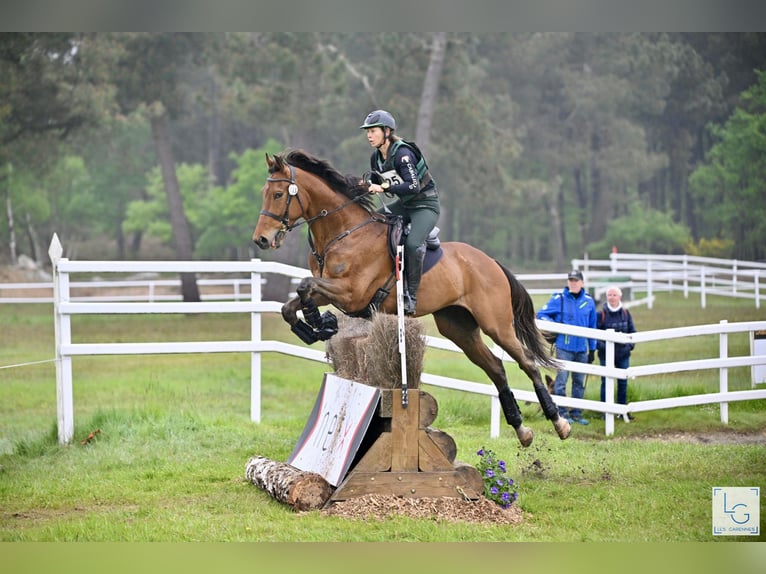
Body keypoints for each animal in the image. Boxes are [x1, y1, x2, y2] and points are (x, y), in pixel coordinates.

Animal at [252, 149, 570, 447]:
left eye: (278, 194)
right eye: (264, 194)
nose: (261, 240)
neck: (342, 233)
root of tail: (490, 261)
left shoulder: (352, 293)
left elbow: (305, 286)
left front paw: (319, 322)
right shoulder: (331, 290)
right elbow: (292, 303)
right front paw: (315, 327)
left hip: (496, 324)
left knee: (527, 363)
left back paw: (559, 423)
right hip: (458, 327)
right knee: (497, 368)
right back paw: (522, 430)